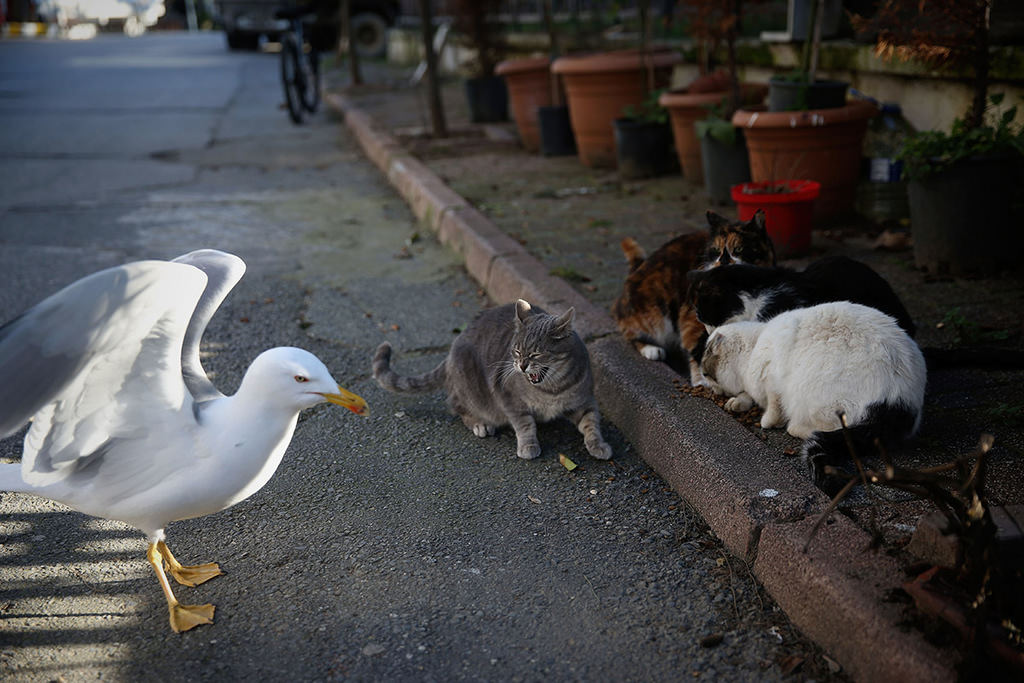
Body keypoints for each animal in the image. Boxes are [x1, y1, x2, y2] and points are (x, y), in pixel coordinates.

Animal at [376, 296, 614, 462]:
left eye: (536, 354)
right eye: (517, 351)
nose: (521, 366)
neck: (551, 389)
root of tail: (452, 350)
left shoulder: (585, 400)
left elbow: (591, 423)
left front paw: (598, 445)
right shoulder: (509, 398)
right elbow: (524, 424)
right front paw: (528, 445)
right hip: (469, 385)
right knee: (455, 404)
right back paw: (480, 423)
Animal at [606, 209, 774, 385]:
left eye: (739, 249)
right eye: (716, 251)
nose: (723, 261)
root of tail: (637, 268)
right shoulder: (692, 318)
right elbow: (696, 348)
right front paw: (701, 383)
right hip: (655, 315)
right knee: (629, 331)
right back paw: (651, 349)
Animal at [704, 303, 929, 485]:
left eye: (706, 373)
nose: (708, 386)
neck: (753, 347)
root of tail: (900, 401)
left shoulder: (772, 379)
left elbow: (774, 407)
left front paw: (767, 420)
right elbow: (749, 395)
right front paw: (737, 402)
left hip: (814, 396)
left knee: (826, 430)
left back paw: (798, 428)